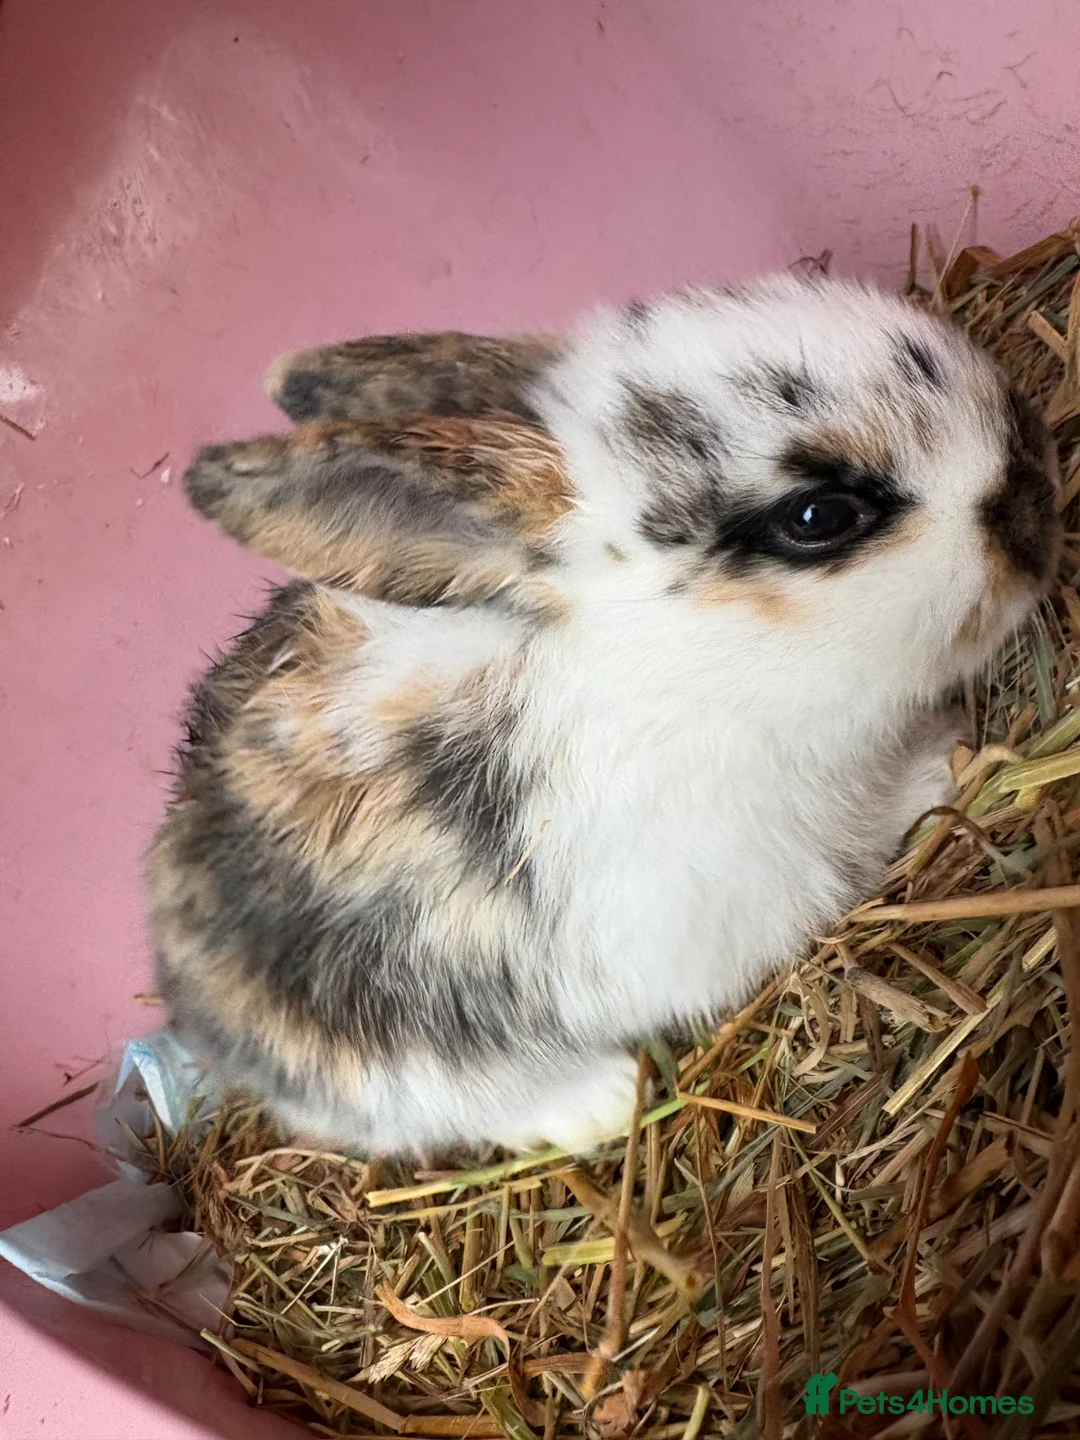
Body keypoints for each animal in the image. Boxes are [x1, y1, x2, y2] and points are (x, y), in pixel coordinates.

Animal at [147, 274, 1061, 1158]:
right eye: (818, 516)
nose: (1036, 487)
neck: (669, 664)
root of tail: (183, 987)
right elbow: (866, 830)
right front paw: (949, 758)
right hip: (401, 1062)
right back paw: (606, 1102)